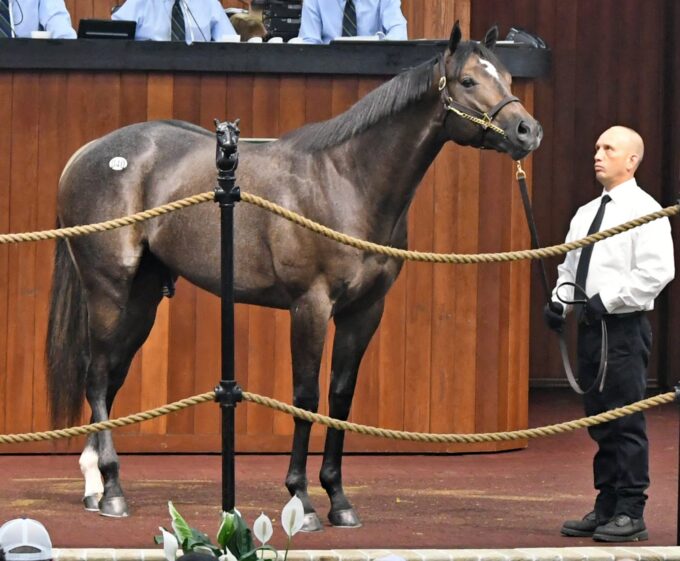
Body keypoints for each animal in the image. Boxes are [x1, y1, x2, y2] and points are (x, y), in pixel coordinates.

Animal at [47, 21, 540, 528]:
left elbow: (341, 397)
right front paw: (300, 497)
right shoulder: (311, 305)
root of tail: (87, 153)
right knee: (97, 374)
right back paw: (112, 490)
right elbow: (306, 397)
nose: (528, 130)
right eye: (468, 81)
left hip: (142, 299)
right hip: (109, 290)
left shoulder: (365, 311)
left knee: (111, 375)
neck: (345, 181)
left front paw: (338, 498)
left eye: (506, 76)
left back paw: (95, 485)